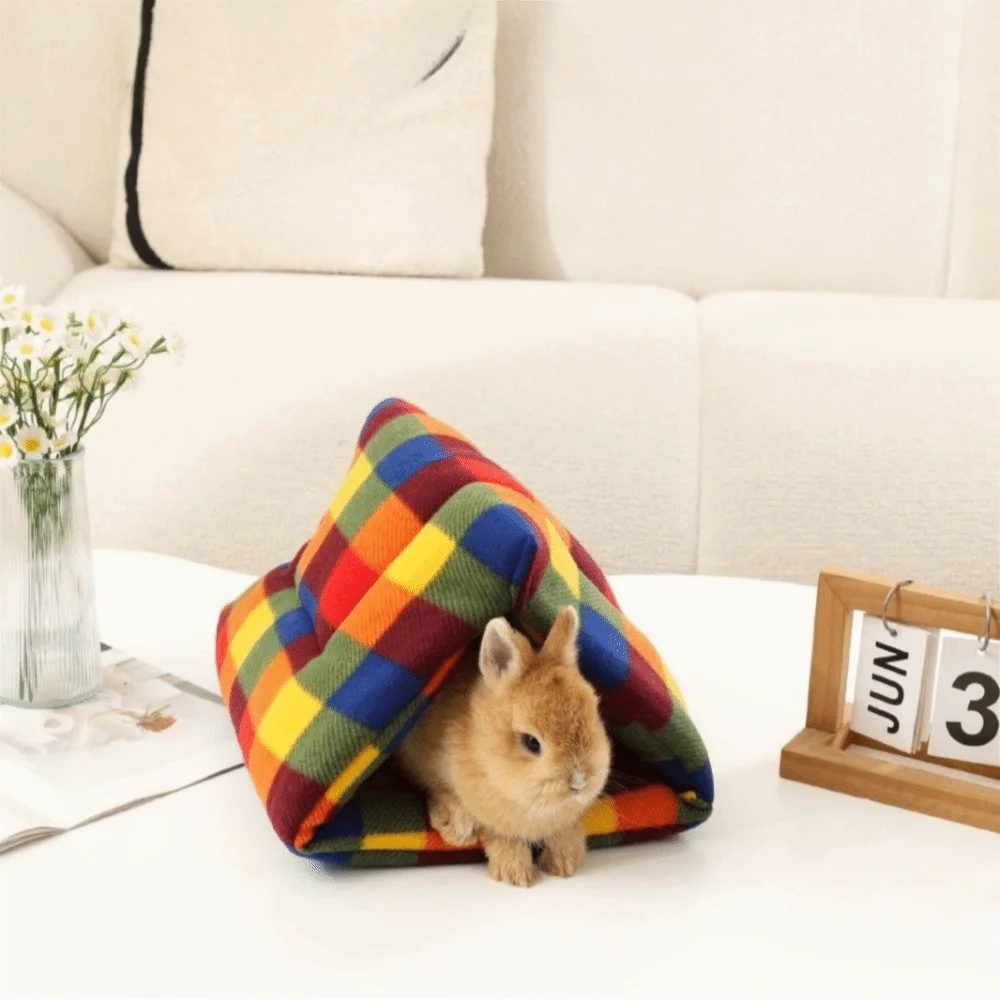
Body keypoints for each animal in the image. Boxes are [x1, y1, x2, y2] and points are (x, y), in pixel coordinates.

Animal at [395, 606, 612, 887]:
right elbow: (499, 837)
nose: (579, 782)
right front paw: (517, 875)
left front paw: (565, 864)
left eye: (594, 712)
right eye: (531, 742)